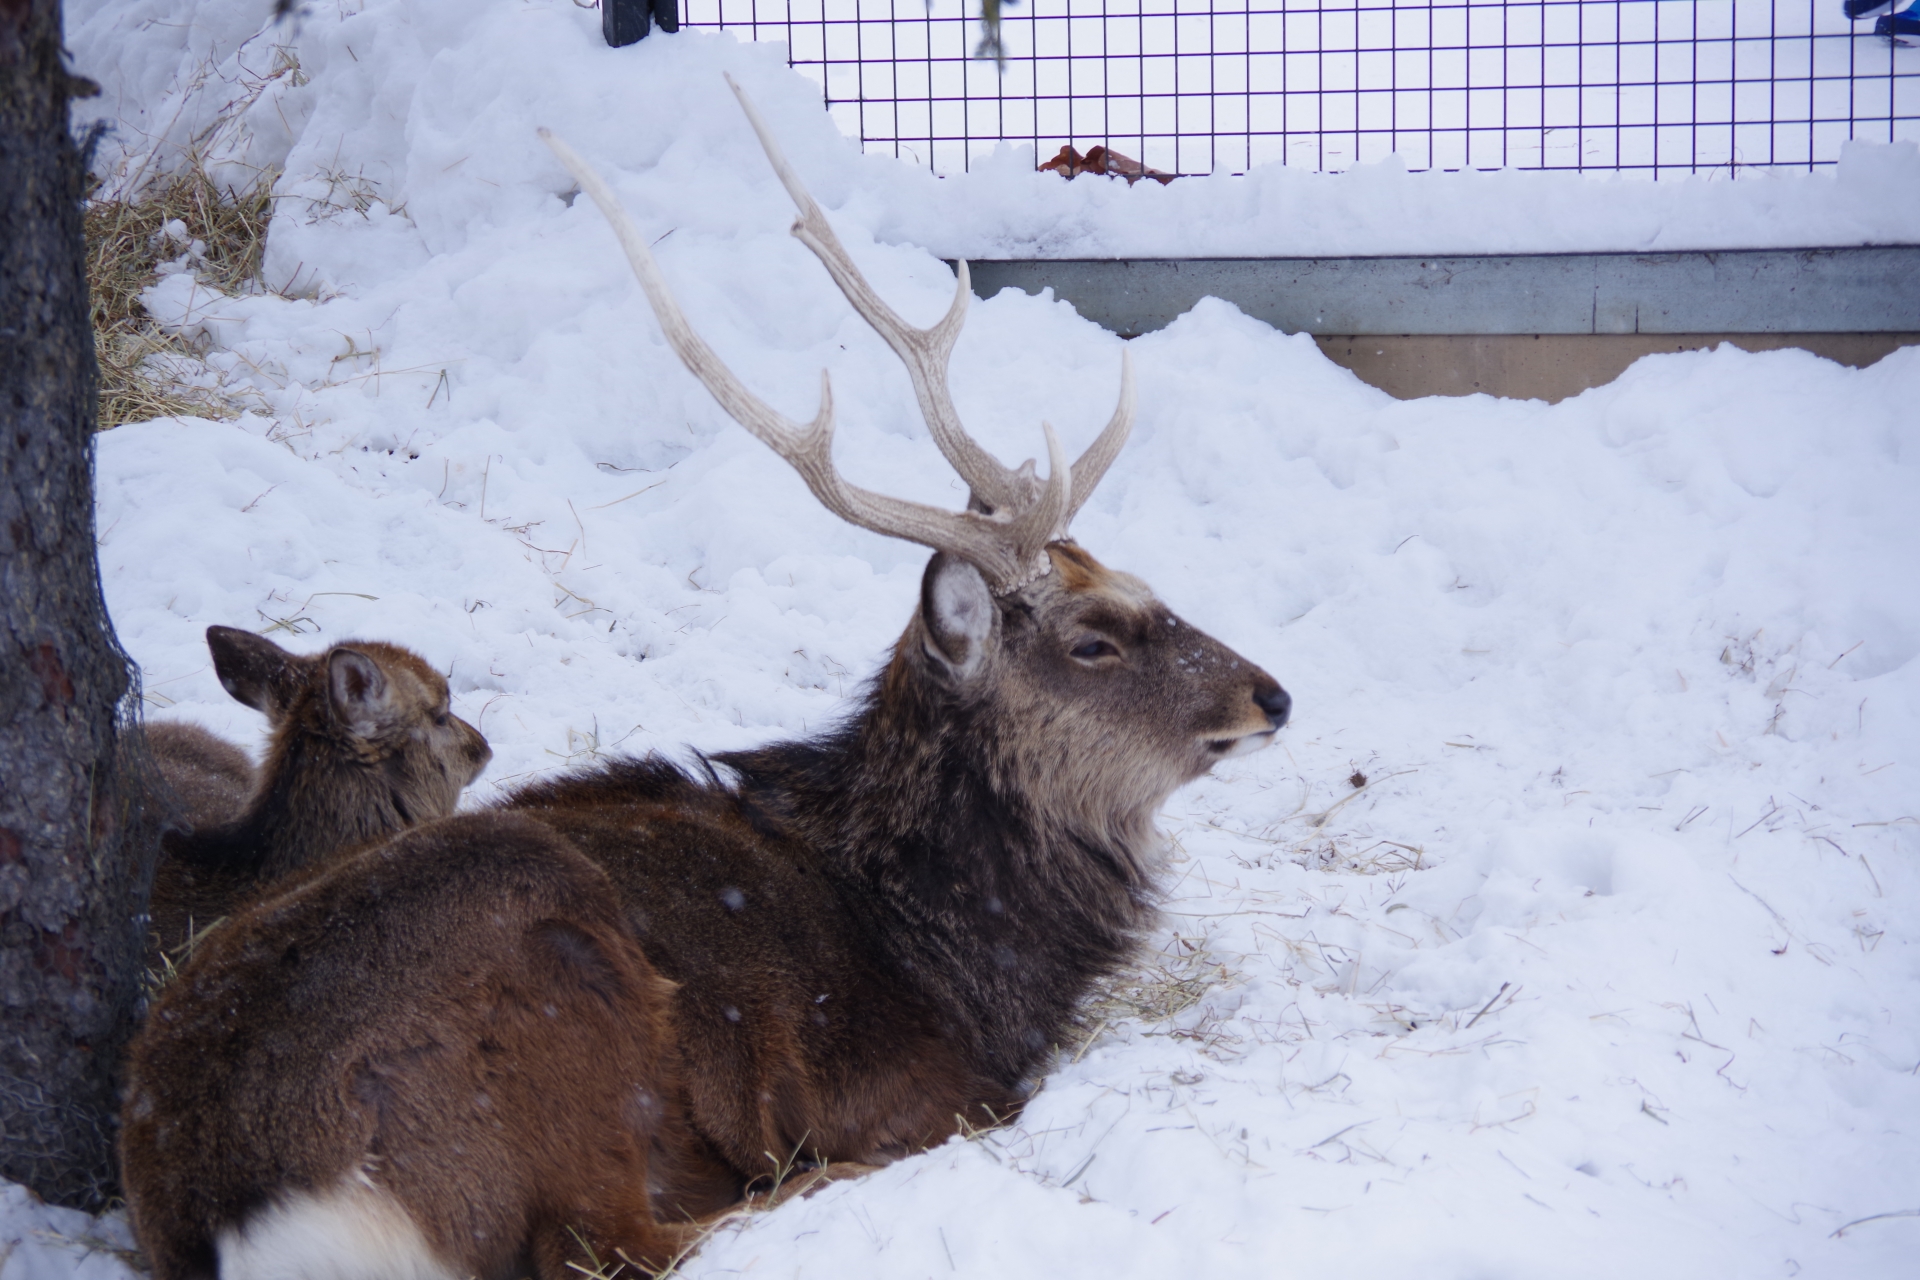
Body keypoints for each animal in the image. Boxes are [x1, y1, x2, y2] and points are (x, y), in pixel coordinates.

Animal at [120, 80, 1290, 1280]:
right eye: (1095, 639)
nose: (1273, 694)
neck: (960, 953)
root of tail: (252, 1217)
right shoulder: (911, 1076)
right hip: (561, 977)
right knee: (618, 1240)